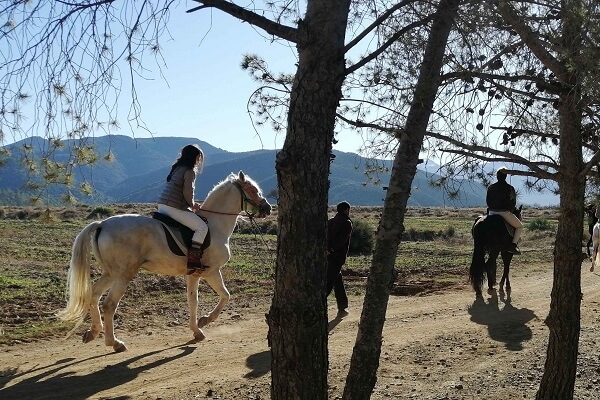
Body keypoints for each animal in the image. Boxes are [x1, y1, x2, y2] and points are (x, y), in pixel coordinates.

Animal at [56, 170, 272, 352]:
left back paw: (93, 332)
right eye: (253, 190)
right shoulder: (211, 271)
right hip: (123, 275)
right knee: (109, 305)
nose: (268, 208)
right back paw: (114, 343)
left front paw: (197, 330)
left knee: (93, 295)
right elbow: (226, 295)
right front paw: (205, 321)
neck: (214, 225)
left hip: (111, 273)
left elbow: (193, 301)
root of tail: (102, 224)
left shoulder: (194, 275)